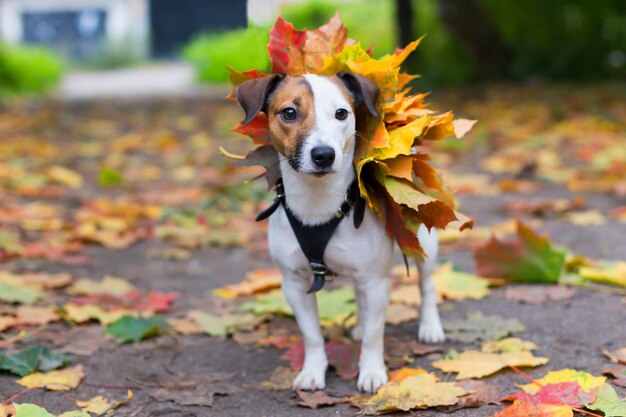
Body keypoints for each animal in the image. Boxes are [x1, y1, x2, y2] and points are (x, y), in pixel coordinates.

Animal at [235, 73, 444, 392]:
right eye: (289, 113)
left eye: (341, 113)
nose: (323, 154)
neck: (318, 205)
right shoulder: (294, 284)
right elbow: (311, 334)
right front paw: (313, 371)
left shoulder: (375, 281)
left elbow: (374, 335)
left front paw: (372, 372)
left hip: (422, 240)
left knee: (426, 284)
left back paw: (430, 326)